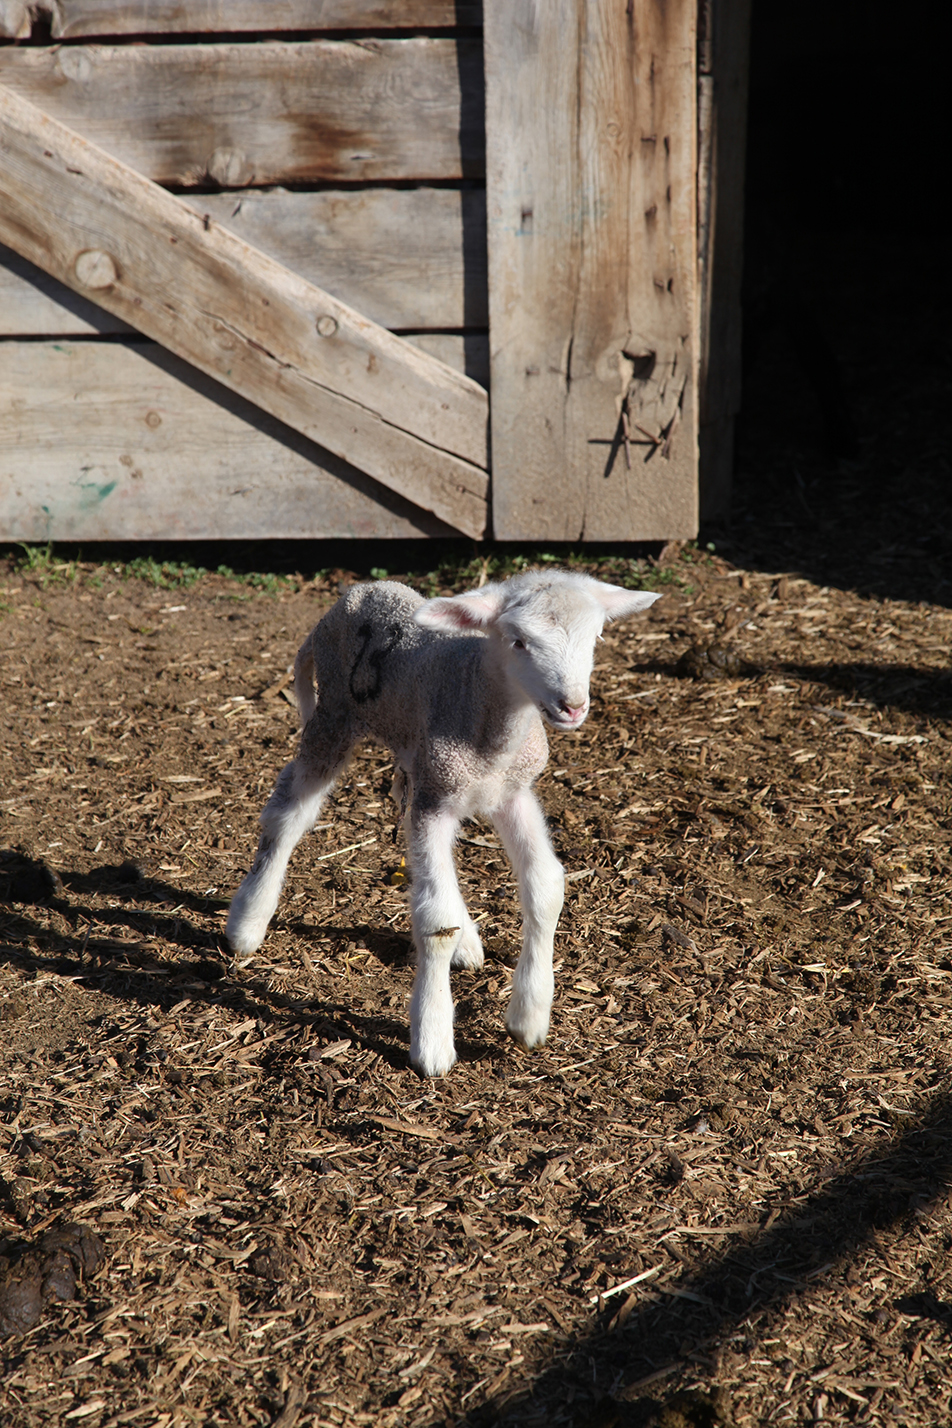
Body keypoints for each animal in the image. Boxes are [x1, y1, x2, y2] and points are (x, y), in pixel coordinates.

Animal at [228, 568, 662, 1073]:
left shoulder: (511, 794)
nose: (572, 706)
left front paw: (530, 1015)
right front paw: (433, 1040)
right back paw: (247, 922)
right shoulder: (436, 799)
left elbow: (546, 886)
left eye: (595, 637)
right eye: (518, 642)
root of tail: (361, 590)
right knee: (288, 813)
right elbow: (435, 921)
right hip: (335, 716)